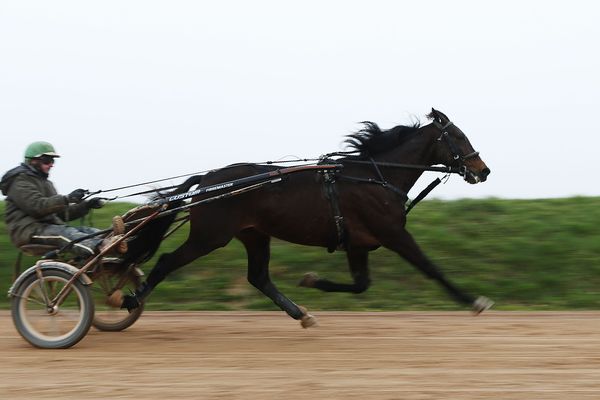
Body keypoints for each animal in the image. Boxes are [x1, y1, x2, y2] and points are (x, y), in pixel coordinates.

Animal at [120, 108, 492, 326]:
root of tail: (209, 179)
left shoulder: (358, 243)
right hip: (210, 236)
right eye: (459, 136)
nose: (483, 170)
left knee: (258, 276)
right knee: (166, 261)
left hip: (255, 235)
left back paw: (301, 313)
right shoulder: (393, 233)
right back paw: (131, 298)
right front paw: (474, 301)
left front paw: (312, 280)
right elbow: (431, 268)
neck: (376, 176)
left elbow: (361, 284)